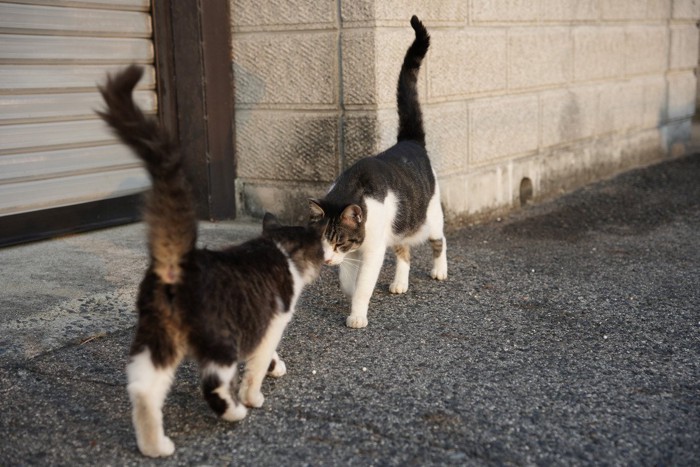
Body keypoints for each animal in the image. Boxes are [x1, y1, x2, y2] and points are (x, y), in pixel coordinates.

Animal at [98, 65, 322, 458]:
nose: (327, 257)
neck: (277, 248)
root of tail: (177, 263)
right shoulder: (273, 321)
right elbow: (257, 363)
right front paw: (255, 394)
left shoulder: (259, 324)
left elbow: (262, 357)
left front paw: (275, 367)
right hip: (219, 338)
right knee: (213, 383)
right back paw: (234, 411)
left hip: (156, 339)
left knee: (142, 389)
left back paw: (155, 446)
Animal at [310, 14, 448, 330]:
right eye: (322, 242)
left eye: (338, 241)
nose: (326, 261)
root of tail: (409, 141)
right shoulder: (353, 254)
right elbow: (348, 280)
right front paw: (350, 292)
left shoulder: (371, 249)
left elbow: (364, 284)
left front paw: (357, 313)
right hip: (398, 227)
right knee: (403, 251)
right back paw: (400, 282)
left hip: (428, 216)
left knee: (439, 240)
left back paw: (440, 269)